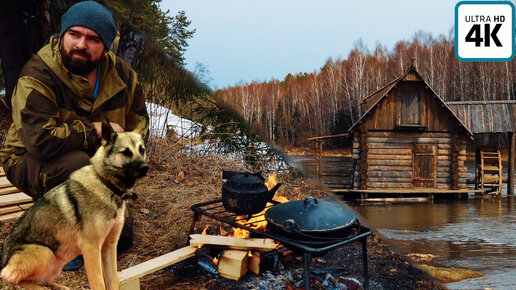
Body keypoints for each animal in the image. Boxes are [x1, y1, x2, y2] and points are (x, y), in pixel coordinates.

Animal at [0, 119, 149, 288]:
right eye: (126, 152)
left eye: (142, 150)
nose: (145, 168)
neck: (105, 184)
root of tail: (4, 262)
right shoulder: (91, 249)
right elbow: (99, 284)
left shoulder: (109, 247)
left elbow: (113, 281)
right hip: (46, 253)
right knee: (14, 279)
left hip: (57, 261)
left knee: (43, 280)